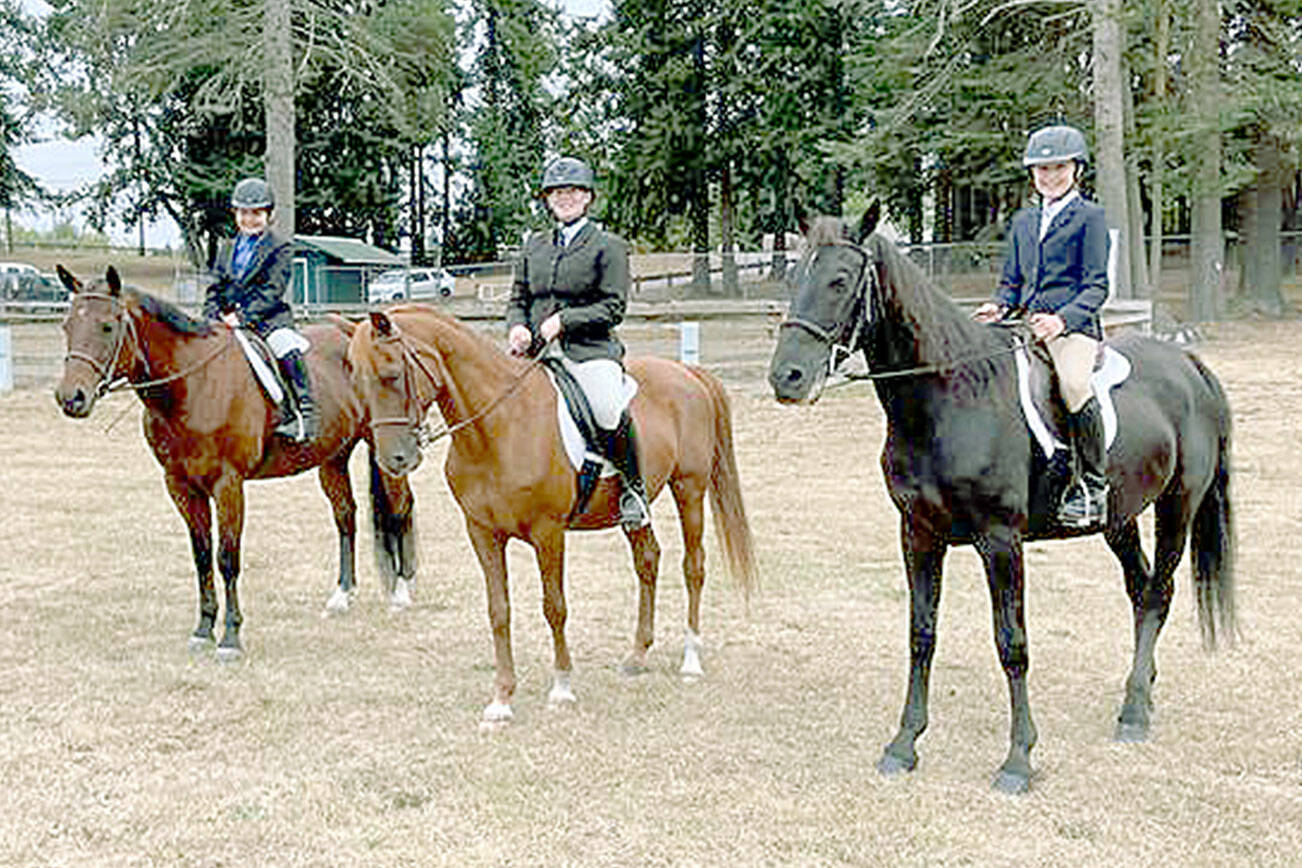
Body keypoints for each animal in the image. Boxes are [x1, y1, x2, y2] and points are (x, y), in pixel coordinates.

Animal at [53, 266, 419, 661]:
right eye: (67, 325)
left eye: (107, 326)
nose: (71, 398)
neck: (191, 384)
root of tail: (355, 333)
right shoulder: (181, 486)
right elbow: (201, 556)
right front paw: (202, 629)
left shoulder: (227, 484)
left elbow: (227, 557)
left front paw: (230, 637)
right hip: (332, 458)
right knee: (345, 516)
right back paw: (342, 595)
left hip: (386, 449)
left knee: (399, 508)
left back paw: (401, 593)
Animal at [345, 306, 757, 725]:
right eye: (357, 381)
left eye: (392, 374)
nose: (395, 461)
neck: (498, 428)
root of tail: (687, 372)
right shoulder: (482, 533)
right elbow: (499, 611)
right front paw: (502, 698)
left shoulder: (548, 533)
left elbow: (554, 607)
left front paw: (562, 687)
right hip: (633, 511)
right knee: (648, 560)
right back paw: (637, 654)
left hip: (689, 489)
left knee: (694, 566)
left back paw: (691, 658)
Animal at [768, 207, 1235, 793]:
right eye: (794, 277)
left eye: (839, 280)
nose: (786, 378)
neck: (949, 397)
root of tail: (1190, 363)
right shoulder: (917, 534)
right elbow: (921, 634)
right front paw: (903, 744)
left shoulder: (1000, 541)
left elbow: (1012, 644)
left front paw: (1018, 759)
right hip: (1119, 517)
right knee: (1141, 587)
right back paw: (1142, 694)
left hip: (1178, 505)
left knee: (1158, 592)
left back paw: (1132, 712)